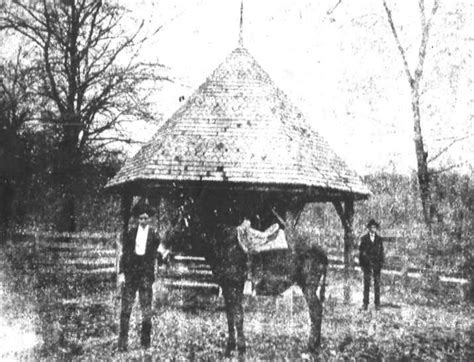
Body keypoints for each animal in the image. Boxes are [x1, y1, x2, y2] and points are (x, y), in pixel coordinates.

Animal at [159, 192, 326, 356]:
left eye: (180, 225)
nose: (160, 253)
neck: (223, 244)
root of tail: (320, 249)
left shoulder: (235, 285)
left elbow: (238, 315)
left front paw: (241, 348)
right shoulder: (226, 286)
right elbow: (230, 316)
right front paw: (230, 347)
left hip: (308, 287)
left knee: (316, 311)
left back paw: (311, 347)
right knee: (317, 311)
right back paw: (316, 345)